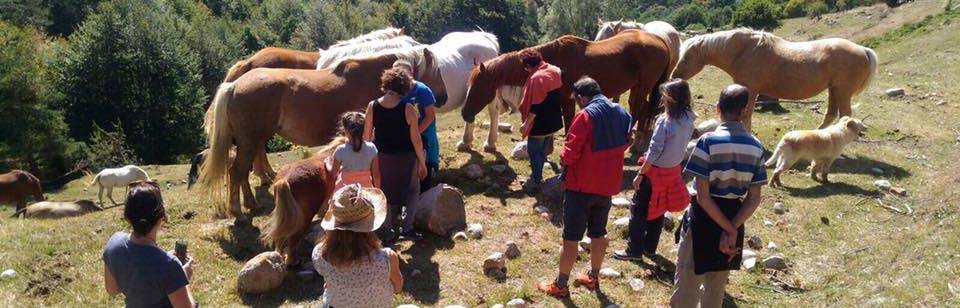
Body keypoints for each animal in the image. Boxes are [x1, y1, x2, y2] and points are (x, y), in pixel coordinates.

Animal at [200, 47, 446, 220]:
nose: (441, 97)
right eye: (436, 70)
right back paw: (238, 211)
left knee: (242, 172)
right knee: (237, 171)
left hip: (249, 141)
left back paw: (251, 204)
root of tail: (233, 85)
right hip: (250, 140)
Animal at [462, 30, 672, 152]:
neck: (554, 62)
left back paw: (633, 143)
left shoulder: (568, 99)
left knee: (638, 110)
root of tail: (659, 40)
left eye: (478, 88)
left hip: (644, 86)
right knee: (644, 109)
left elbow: (569, 121)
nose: (465, 113)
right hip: (638, 87)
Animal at [672, 27, 872, 130]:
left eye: (688, 56)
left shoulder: (751, 90)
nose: (675, 76)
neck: (744, 51)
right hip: (834, 90)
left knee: (845, 115)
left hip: (842, 92)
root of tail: (863, 50)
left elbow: (746, 116)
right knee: (831, 115)